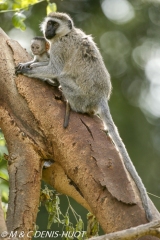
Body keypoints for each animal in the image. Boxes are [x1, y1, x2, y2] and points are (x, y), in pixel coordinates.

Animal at [16, 11, 152, 221]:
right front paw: (27, 63)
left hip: (80, 96)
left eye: (54, 24)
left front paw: (26, 70)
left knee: (62, 76)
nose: (48, 31)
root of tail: (100, 97)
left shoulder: (60, 47)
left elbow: (54, 68)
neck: (66, 34)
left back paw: (64, 96)